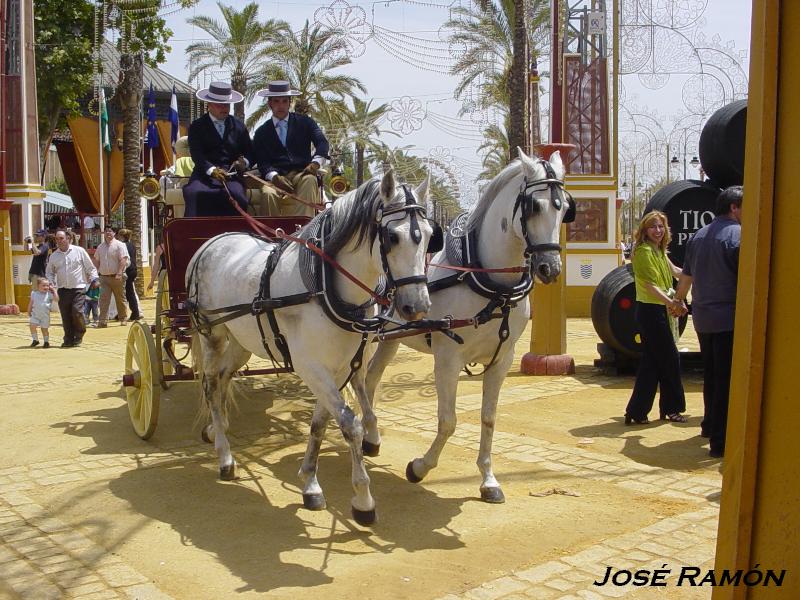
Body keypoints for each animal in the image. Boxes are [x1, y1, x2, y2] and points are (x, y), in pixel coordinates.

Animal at [186, 170, 432, 524]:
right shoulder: (310, 367)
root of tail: (212, 241)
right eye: (392, 237)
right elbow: (350, 425)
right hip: (212, 333)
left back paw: (219, 432)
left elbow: (320, 424)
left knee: (221, 379)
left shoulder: (338, 369)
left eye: (429, 236)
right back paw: (224, 456)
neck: (324, 286)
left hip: (241, 341)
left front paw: (311, 484)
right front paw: (363, 500)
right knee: (208, 384)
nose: (418, 306)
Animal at [360, 149, 572, 502]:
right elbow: (448, 421)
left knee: (370, 380)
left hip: (391, 337)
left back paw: (370, 435)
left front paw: (488, 479)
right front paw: (419, 467)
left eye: (565, 208)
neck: (486, 281)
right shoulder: (448, 359)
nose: (550, 268)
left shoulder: (502, 360)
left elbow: (489, 418)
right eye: (534, 206)